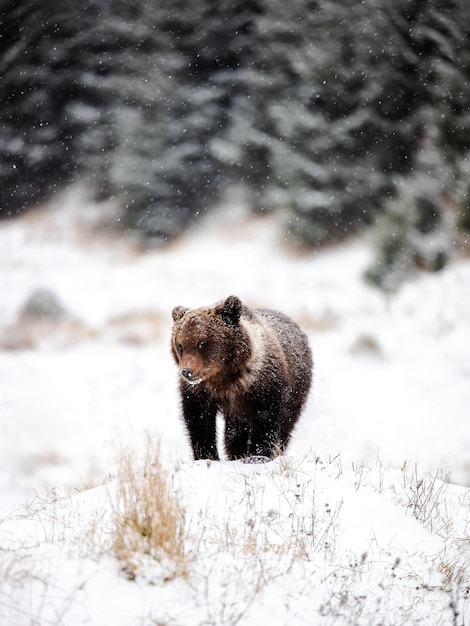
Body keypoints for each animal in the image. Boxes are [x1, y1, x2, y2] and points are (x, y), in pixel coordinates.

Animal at [172, 294, 312, 460]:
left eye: (202, 343)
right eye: (180, 345)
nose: (187, 371)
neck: (224, 379)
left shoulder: (265, 386)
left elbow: (267, 420)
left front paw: (259, 455)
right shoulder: (200, 392)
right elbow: (199, 421)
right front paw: (207, 455)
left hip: (297, 390)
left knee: (287, 422)